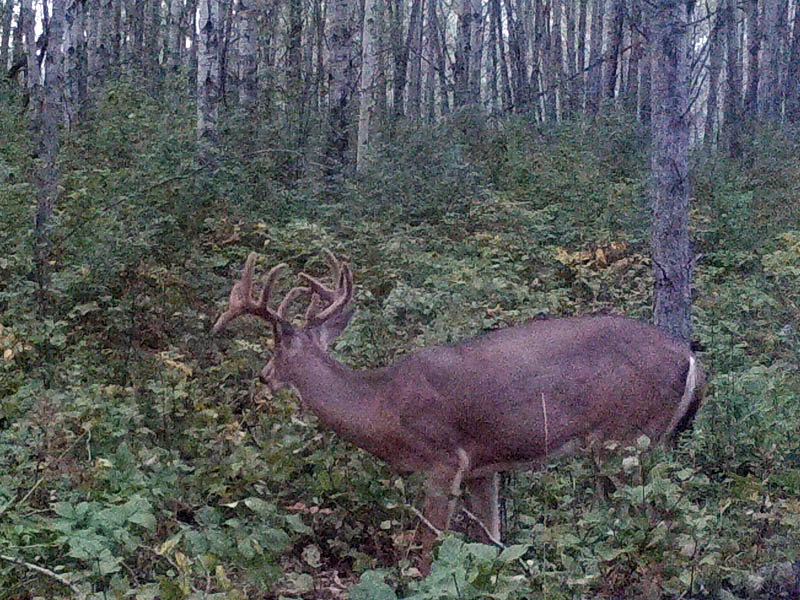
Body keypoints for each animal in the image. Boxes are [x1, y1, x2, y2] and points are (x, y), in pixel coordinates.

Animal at [214, 248, 708, 572]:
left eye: (277, 348)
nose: (264, 376)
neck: (383, 406)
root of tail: (690, 359)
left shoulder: (443, 460)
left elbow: (429, 548)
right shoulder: (482, 467)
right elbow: (493, 542)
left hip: (627, 438)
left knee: (657, 521)